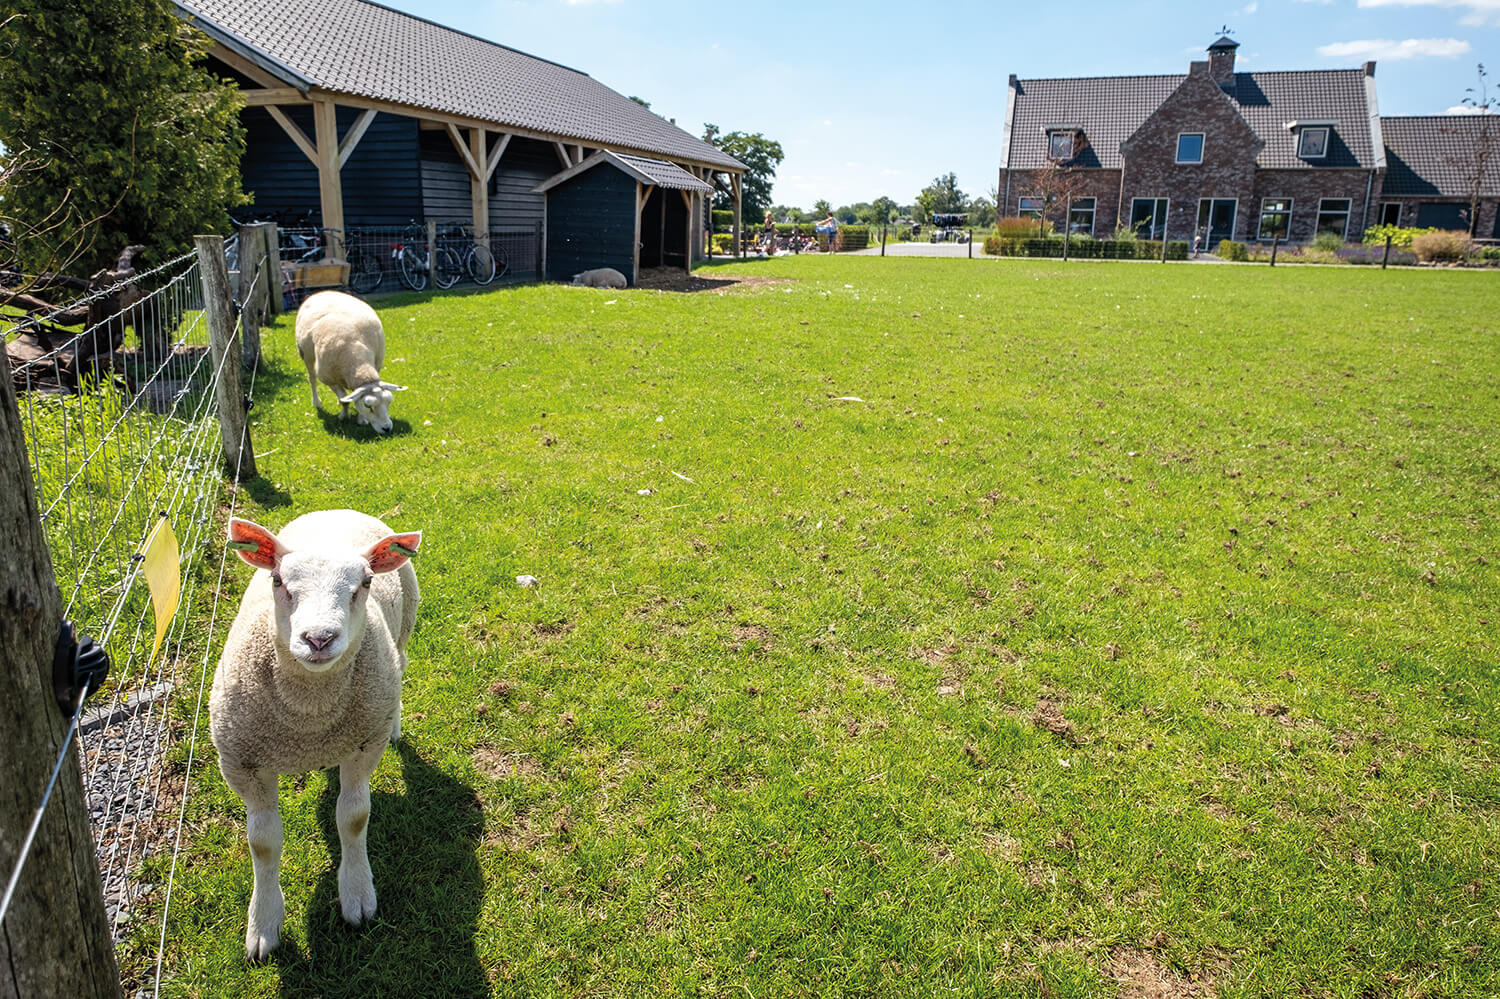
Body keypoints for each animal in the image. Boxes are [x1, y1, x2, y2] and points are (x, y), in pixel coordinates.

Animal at [210, 510, 423, 954]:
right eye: (277, 580)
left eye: (365, 582)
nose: (319, 638)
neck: (309, 719)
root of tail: (338, 511)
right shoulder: (242, 763)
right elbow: (263, 842)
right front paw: (263, 924)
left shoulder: (364, 744)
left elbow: (354, 817)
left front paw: (357, 894)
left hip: (404, 628)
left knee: (402, 662)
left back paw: (396, 722)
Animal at [294, 286, 408, 429]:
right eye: (367, 406)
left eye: (389, 402)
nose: (387, 429)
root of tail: (324, 292)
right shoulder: (329, 379)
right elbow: (345, 400)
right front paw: (344, 416)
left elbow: (351, 397)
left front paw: (361, 419)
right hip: (306, 355)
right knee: (312, 379)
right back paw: (317, 402)